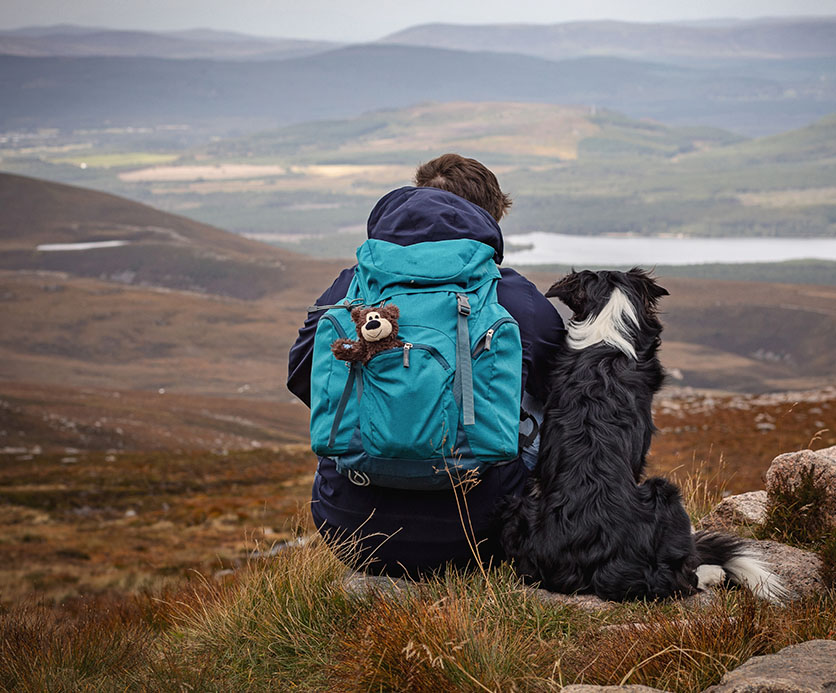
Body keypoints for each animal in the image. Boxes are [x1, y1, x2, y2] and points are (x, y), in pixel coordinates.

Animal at [502, 268, 784, 604]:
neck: (606, 337)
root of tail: (596, 562)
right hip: (666, 493)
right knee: (682, 577)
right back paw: (712, 572)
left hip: (521, 509)